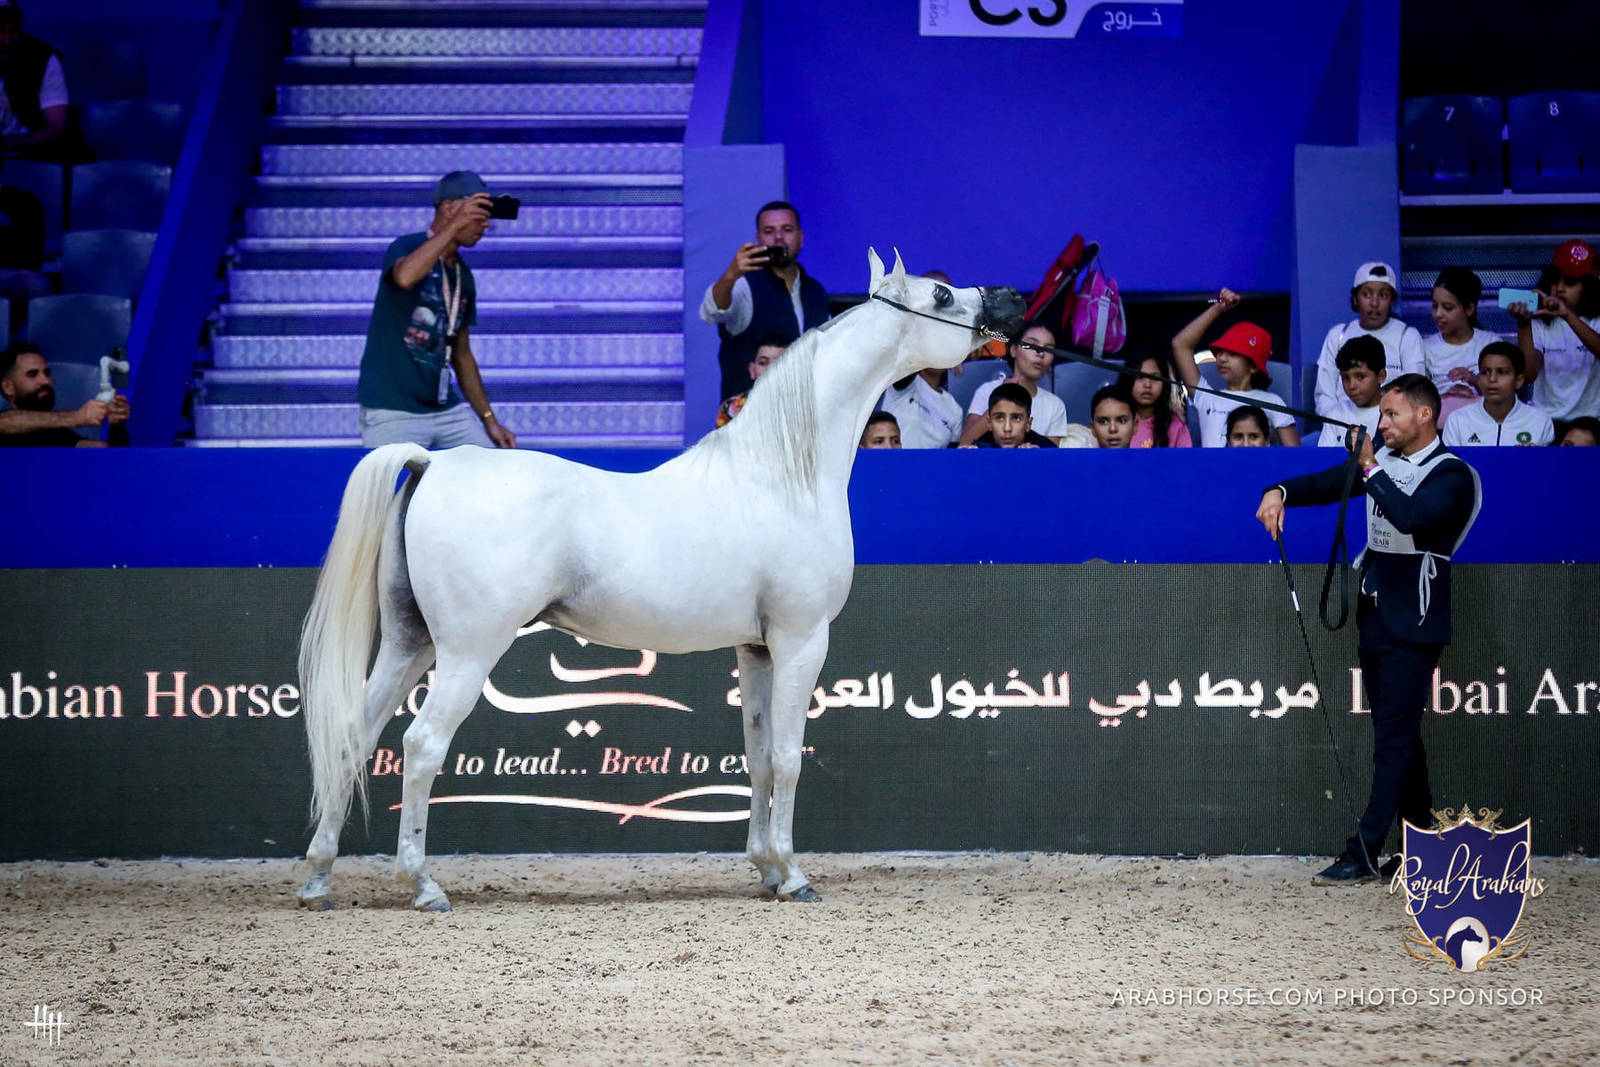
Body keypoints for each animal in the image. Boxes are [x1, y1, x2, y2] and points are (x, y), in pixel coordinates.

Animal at [296, 249, 1026, 911]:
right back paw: (423, 885)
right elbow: (790, 755)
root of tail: (435, 464)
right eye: (940, 294)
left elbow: (760, 755)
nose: (1012, 298)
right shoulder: (800, 641)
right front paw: (793, 875)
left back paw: (319, 879)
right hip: (468, 651)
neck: (779, 475)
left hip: (410, 643)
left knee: (354, 736)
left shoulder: (756, 649)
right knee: (421, 746)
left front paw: (764, 868)